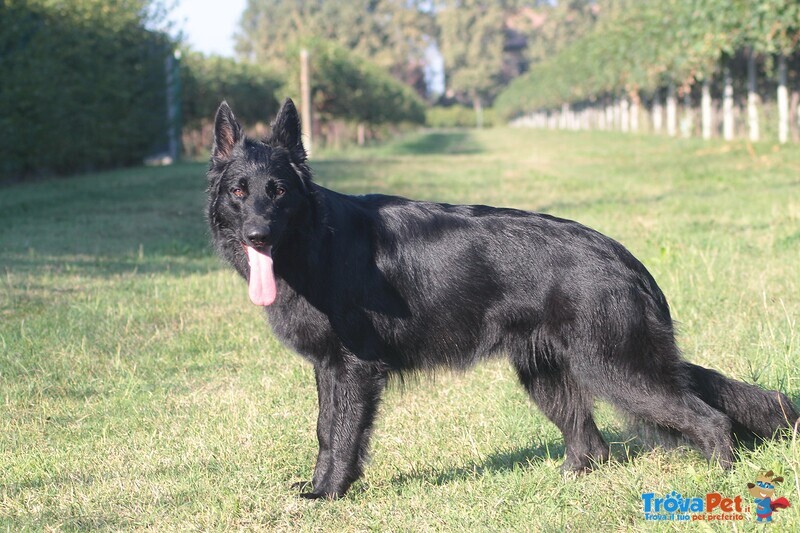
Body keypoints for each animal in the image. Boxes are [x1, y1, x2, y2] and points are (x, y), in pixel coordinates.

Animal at [208, 98, 800, 498]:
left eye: (279, 191)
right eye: (239, 191)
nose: (258, 236)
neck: (316, 239)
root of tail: (623, 257)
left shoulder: (352, 370)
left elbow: (340, 433)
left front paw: (327, 494)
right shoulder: (329, 369)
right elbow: (325, 430)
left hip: (619, 370)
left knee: (709, 420)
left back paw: (722, 485)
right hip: (547, 375)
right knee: (593, 446)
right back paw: (566, 483)